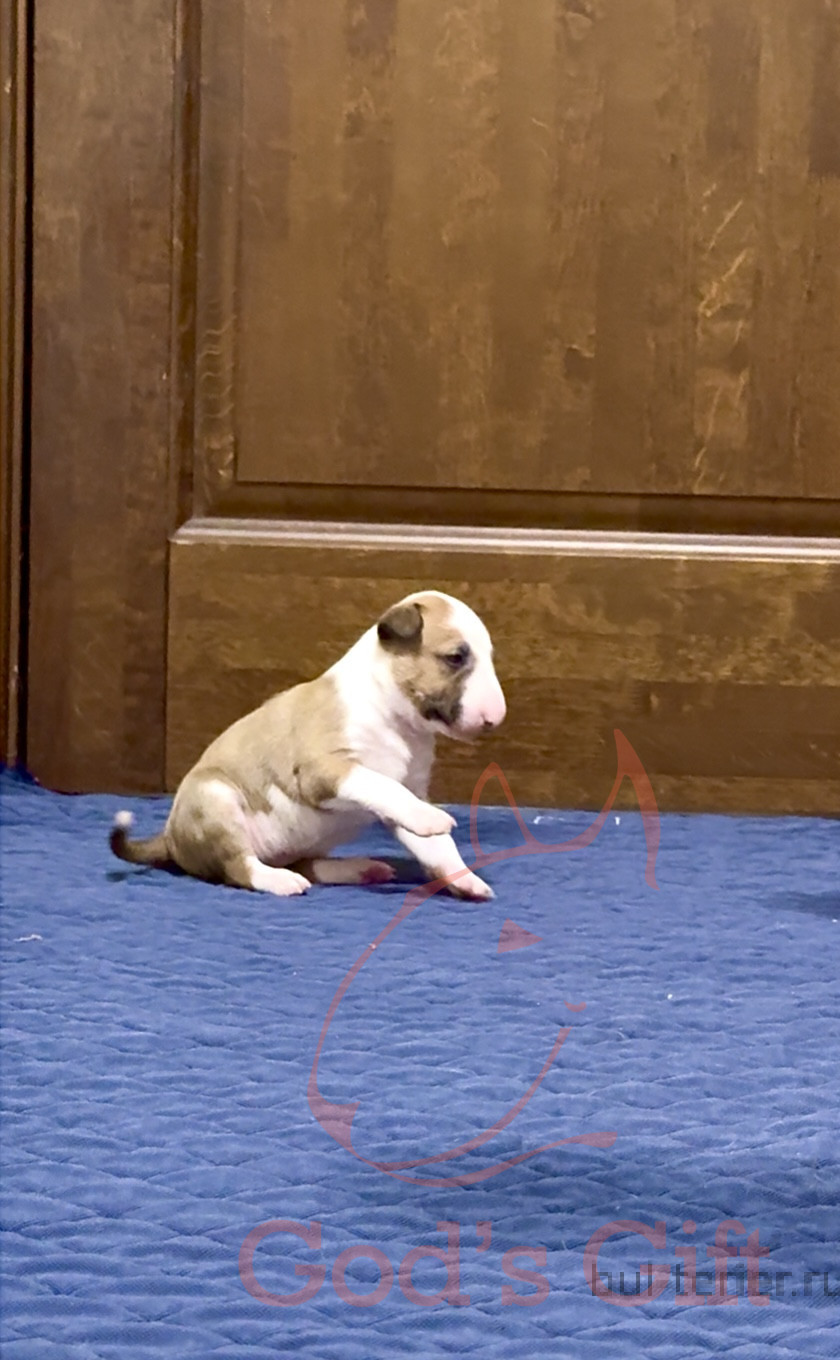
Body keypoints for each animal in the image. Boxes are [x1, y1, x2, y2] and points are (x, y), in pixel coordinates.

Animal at [110, 591, 506, 900]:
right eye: (455, 657)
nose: (496, 718)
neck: (391, 715)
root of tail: (170, 839)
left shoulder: (410, 786)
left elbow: (435, 843)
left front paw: (465, 879)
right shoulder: (325, 769)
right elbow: (382, 785)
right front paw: (431, 817)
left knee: (306, 863)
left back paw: (359, 869)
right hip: (216, 800)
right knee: (239, 867)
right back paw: (279, 880)